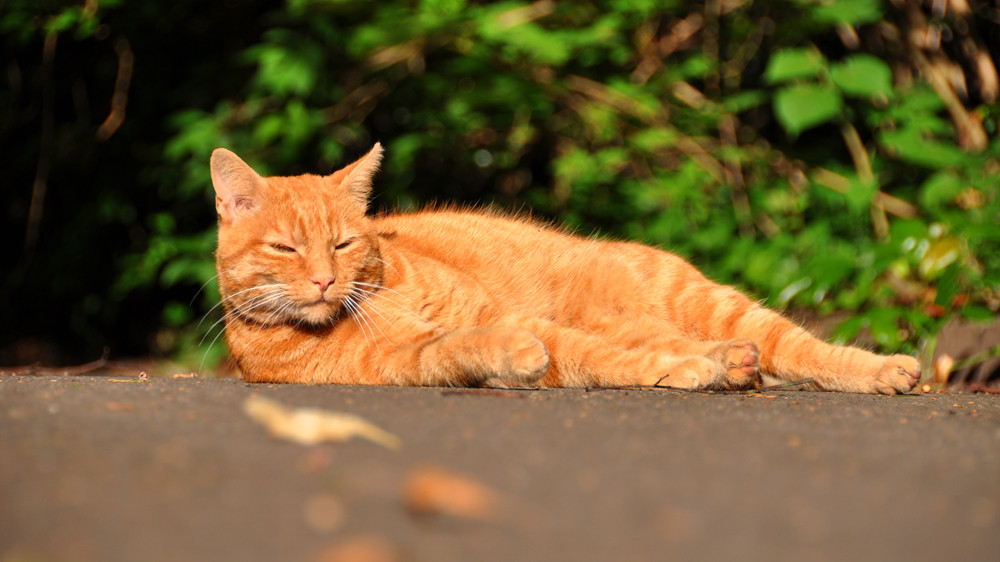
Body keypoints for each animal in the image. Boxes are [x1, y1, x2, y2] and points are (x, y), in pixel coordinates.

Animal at [211, 142, 920, 392]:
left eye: (342, 245)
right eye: (285, 249)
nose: (325, 280)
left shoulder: (498, 310)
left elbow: (592, 352)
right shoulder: (407, 362)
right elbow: (484, 349)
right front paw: (510, 356)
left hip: (712, 303)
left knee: (796, 347)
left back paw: (883, 371)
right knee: (692, 345)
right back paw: (728, 365)